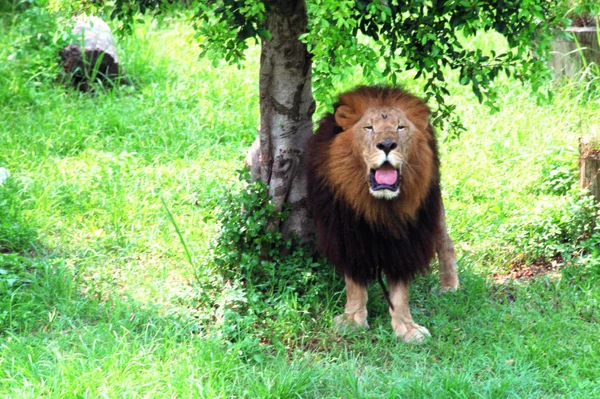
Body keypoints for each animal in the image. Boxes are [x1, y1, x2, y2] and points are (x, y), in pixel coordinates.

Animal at [308, 86, 458, 344]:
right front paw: (353, 319)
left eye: (401, 127)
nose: (387, 144)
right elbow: (355, 284)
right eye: (369, 127)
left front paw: (407, 328)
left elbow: (400, 291)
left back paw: (449, 287)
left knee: (446, 242)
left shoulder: (405, 240)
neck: (378, 205)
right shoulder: (347, 236)